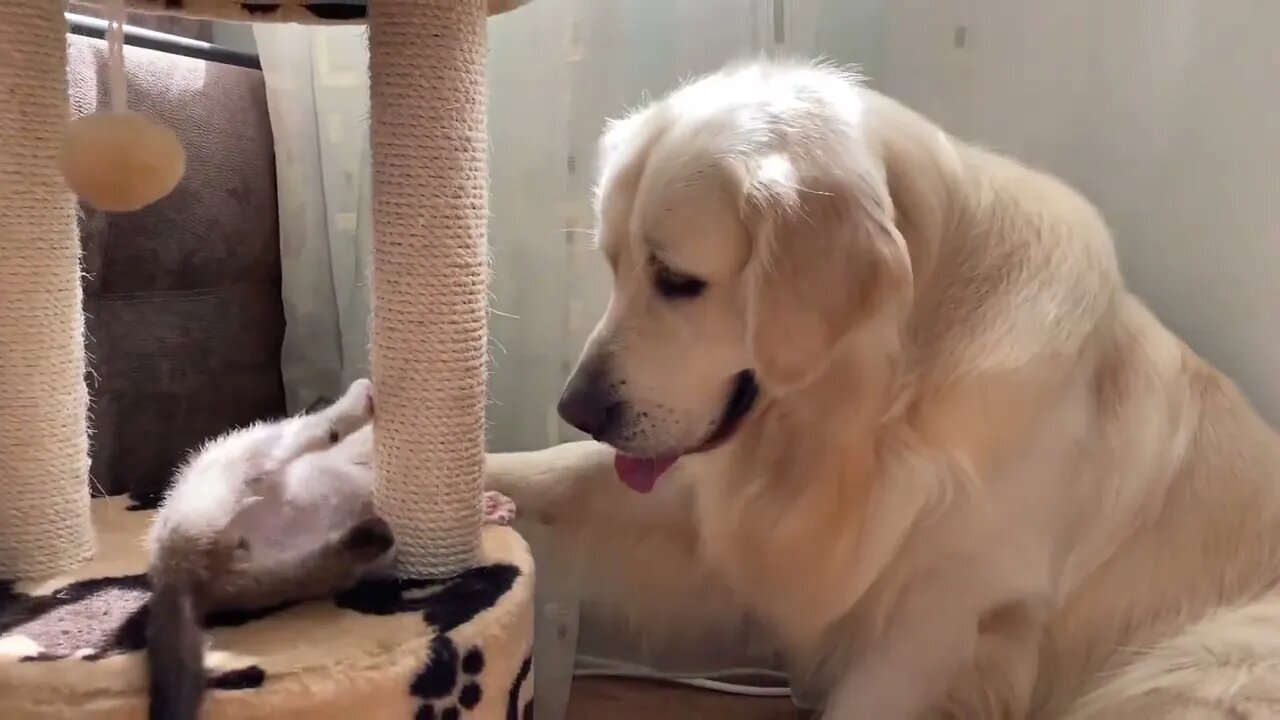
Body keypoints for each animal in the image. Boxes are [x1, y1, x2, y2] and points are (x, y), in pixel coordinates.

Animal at [483, 58, 1280, 712]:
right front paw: (480, 485)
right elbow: (556, 473)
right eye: (613, 264)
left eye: (678, 280)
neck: (871, 413)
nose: (576, 407)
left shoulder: (939, 621)